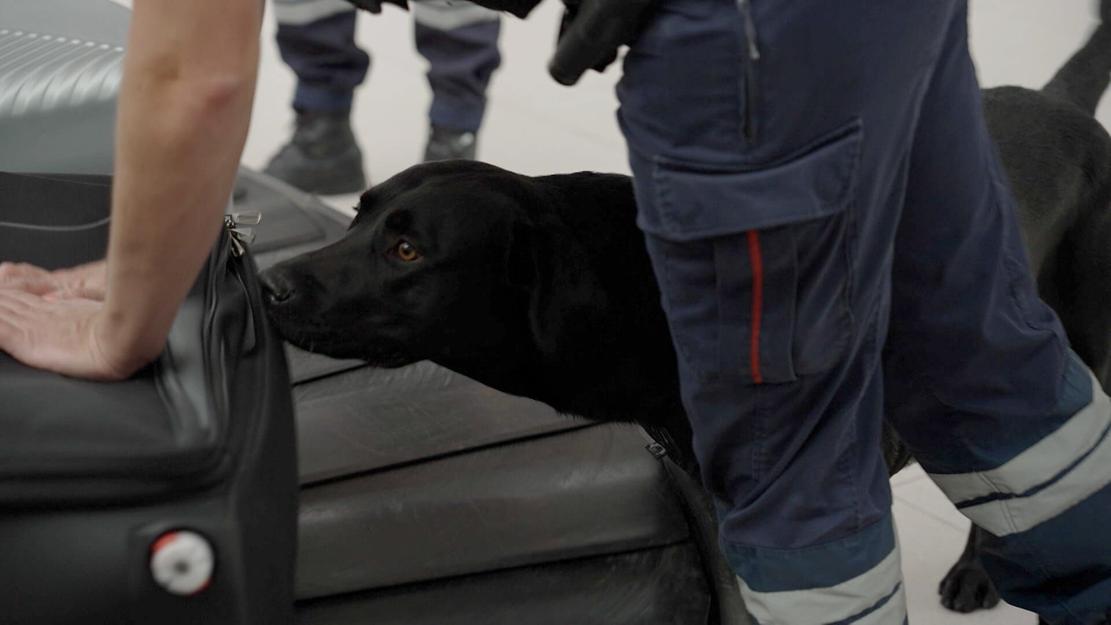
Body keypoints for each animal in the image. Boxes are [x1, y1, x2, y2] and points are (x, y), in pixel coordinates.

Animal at [262, 12, 1111, 617]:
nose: (269, 282)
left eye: (406, 251)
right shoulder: (713, 510)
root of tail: (1060, 104)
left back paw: (978, 570)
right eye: (359, 214)